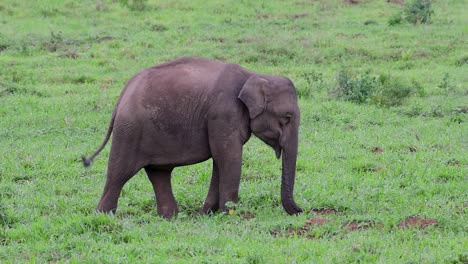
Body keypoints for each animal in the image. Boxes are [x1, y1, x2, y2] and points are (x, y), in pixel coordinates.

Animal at [82, 57, 304, 219]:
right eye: (287, 118)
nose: (301, 210)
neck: (254, 75)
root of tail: (122, 95)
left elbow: (220, 161)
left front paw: (207, 214)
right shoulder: (223, 114)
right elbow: (229, 157)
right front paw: (231, 215)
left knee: (159, 173)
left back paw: (170, 217)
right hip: (129, 131)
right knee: (119, 173)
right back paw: (103, 216)